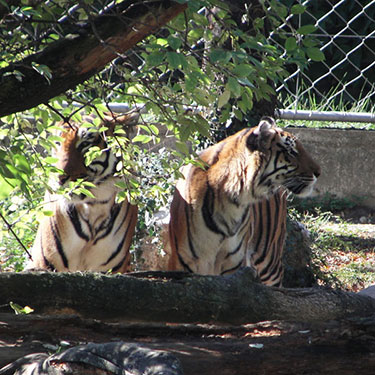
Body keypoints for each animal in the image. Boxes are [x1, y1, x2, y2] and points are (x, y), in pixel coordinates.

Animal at [169, 117, 322, 284]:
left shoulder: (233, 265)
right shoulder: (182, 264)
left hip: (269, 262)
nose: (319, 172)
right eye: (291, 151)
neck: (231, 201)